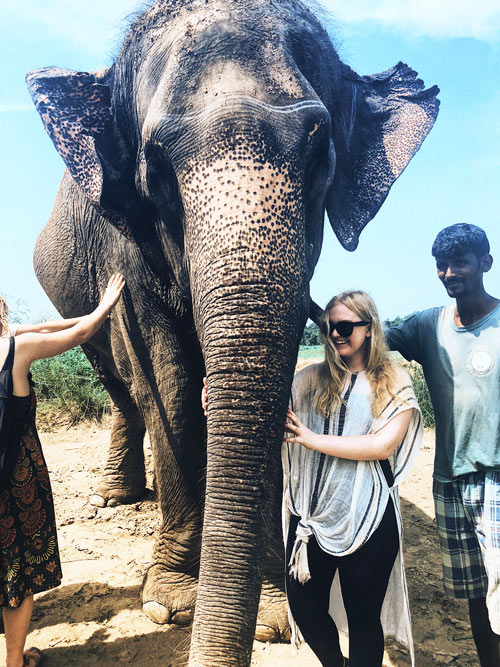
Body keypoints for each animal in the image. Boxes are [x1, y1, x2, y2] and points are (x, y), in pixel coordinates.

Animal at [25, 2, 438, 664]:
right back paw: (115, 498)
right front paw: (169, 604)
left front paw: (271, 615)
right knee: (123, 384)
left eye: (321, 154)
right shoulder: (129, 245)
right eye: (155, 166)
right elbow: (168, 386)